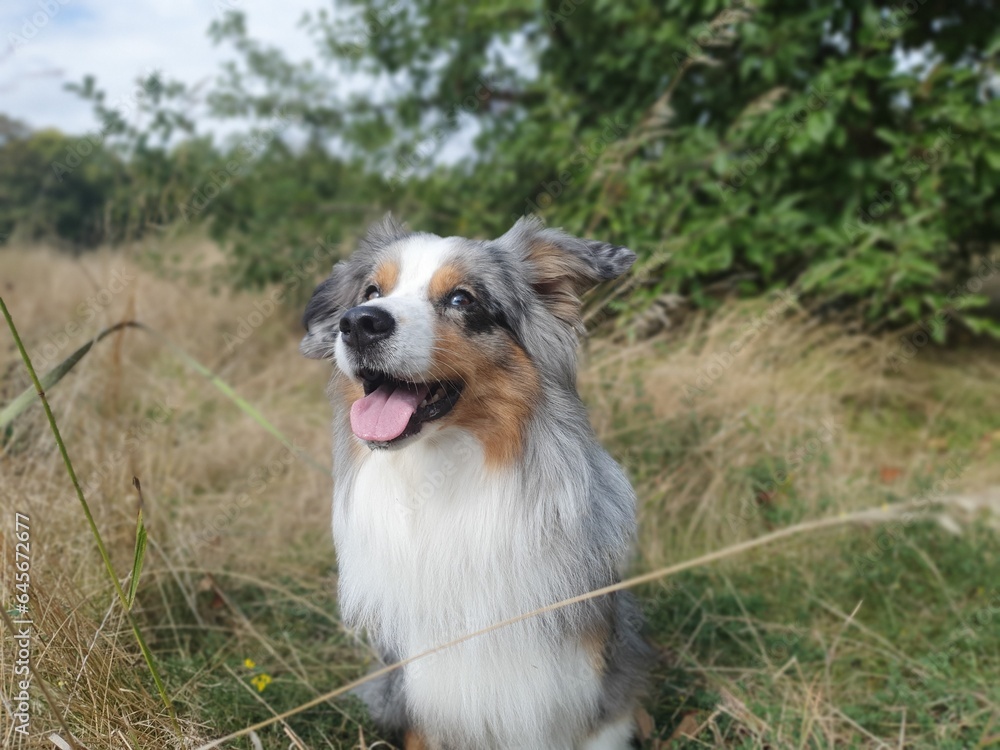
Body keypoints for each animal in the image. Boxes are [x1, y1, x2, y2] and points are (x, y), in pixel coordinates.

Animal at [300, 214, 652, 748]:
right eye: (371, 290)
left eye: (462, 299)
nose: (359, 321)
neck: (445, 475)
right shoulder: (426, 691)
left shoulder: (590, 687)